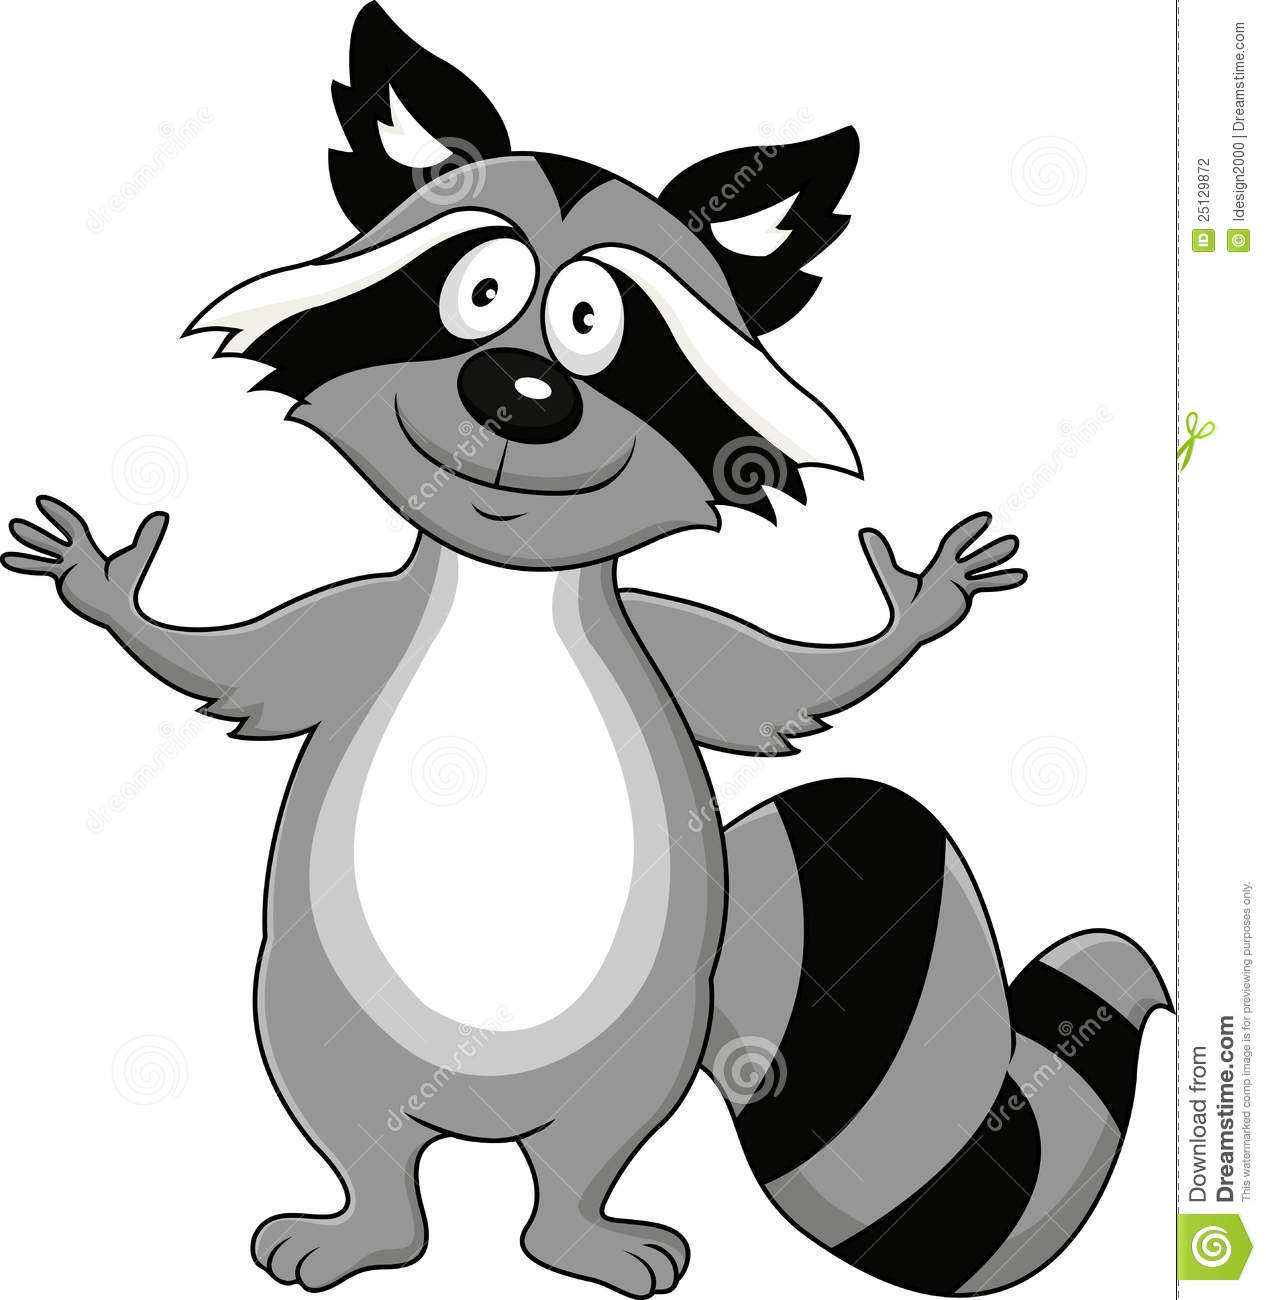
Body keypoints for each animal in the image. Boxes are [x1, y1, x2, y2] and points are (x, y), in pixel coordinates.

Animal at [3, 5, 1168, 1296]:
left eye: (596, 327)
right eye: (475, 291)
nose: (515, 393)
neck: (510, 585)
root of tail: (476, 1120)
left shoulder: (667, 646)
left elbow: (770, 681)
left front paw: (920, 605)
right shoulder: (364, 626)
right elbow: (255, 665)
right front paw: (106, 589)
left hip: (645, 1036)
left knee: (581, 1157)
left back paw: (579, 1237)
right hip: (315, 1012)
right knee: (364, 1141)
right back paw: (364, 1229)